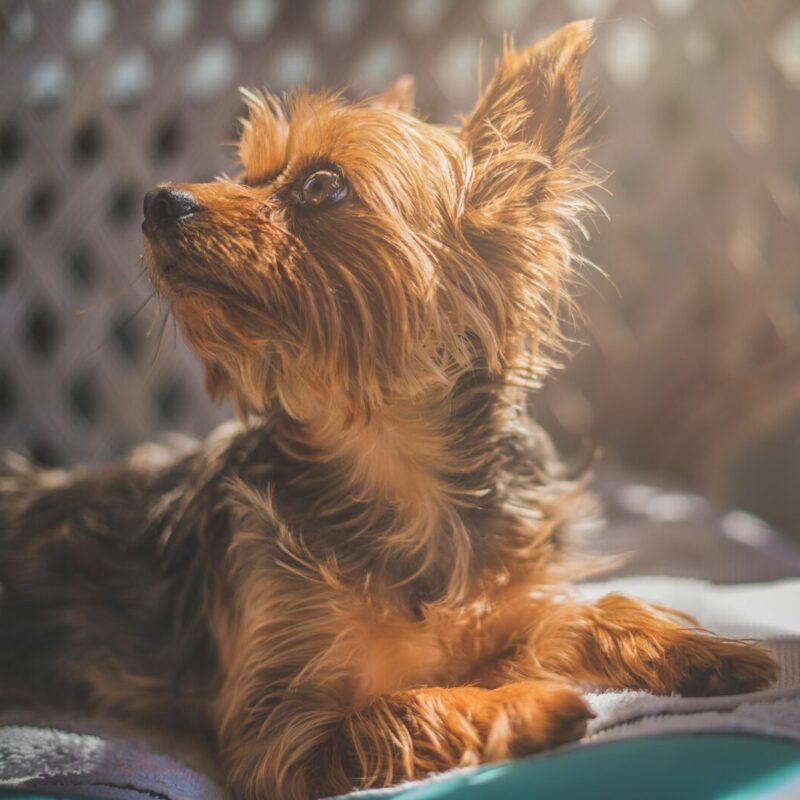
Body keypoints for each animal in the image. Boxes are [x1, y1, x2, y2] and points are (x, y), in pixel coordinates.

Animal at [0, 21, 776, 796]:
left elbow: (577, 616)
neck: (394, 463)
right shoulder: (283, 739)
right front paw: (526, 707)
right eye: (244, 174)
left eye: (321, 184)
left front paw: (695, 647)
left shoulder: (498, 619)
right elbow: (410, 704)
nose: (158, 201)